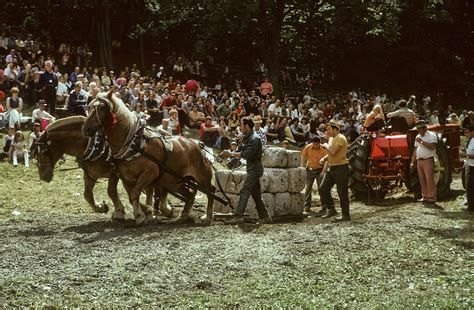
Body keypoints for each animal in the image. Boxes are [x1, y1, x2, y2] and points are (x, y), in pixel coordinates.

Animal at [82, 89, 215, 225]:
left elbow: (135, 193)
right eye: (89, 107)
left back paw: (207, 216)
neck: (133, 144)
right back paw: (183, 215)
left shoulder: (150, 172)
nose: (86, 129)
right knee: (191, 193)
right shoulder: (126, 178)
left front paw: (143, 213)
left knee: (210, 191)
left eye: (102, 108)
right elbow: (132, 195)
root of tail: (198, 145)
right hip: (174, 181)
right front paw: (145, 212)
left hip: (201, 177)